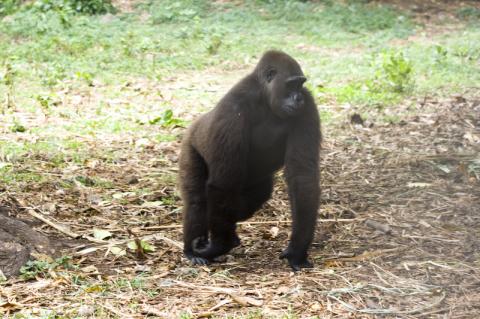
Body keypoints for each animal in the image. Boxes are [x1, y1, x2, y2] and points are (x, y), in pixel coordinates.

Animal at [178, 50, 320, 272]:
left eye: (300, 85)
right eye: (291, 85)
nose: (298, 98)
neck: (264, 97)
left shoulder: (308, 106)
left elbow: (302, 177)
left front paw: (297, 249)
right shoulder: (232, 109)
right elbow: (223, 184)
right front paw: (220, 245)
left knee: (256, 195)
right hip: (190, 142)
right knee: (197, 200)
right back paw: (192, 251)